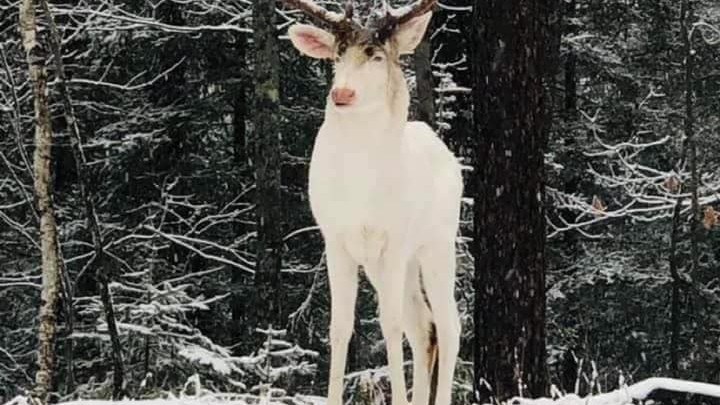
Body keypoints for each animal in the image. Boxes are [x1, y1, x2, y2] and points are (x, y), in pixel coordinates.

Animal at [286, 2, 462, 404]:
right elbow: (339, 327)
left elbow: (390, 324)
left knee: (449, 324)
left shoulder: (394, 239)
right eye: (337, 55)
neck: (360, 190)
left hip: (437, 243)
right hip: (393, 262)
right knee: (424, 325)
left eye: (377, 55)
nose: (342, 94)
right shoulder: (336, 239)